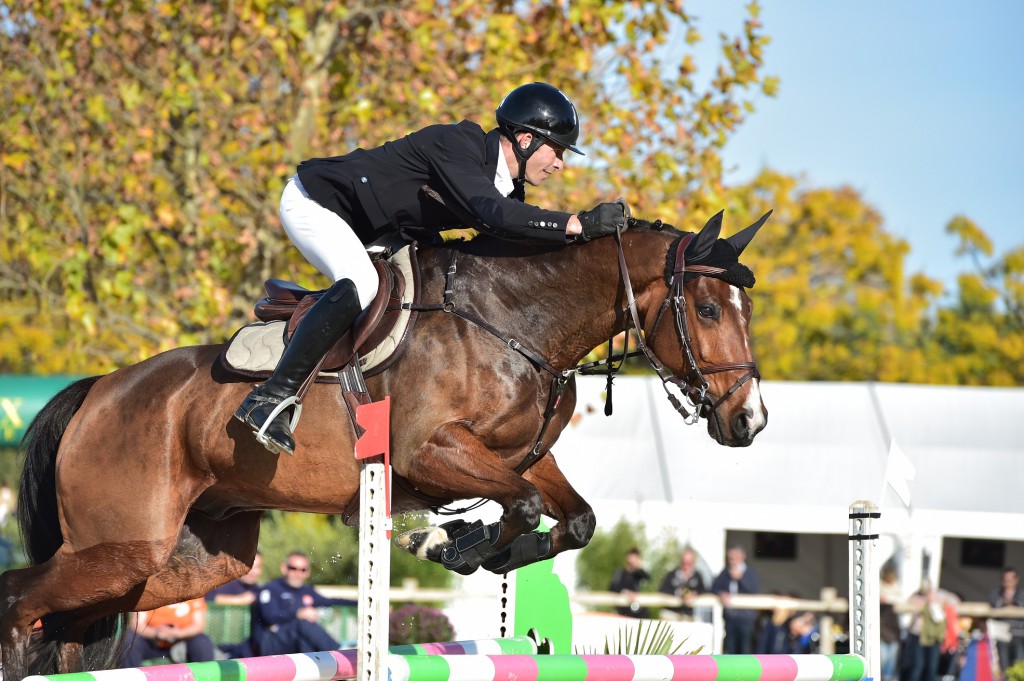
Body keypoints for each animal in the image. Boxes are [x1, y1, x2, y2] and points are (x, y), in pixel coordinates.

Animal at [2, 209, 770, 675]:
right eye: (707, 309)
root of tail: (99, 390)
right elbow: (520, 503)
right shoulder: (427, 455)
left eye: (746, 309)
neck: (515, 322)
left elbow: (573, 517)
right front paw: (449, 545)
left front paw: (481, 552)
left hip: (185, 562)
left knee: (61, 619)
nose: (750, 422)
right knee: (19, 598)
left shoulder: (525, 456)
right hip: (122, 544)